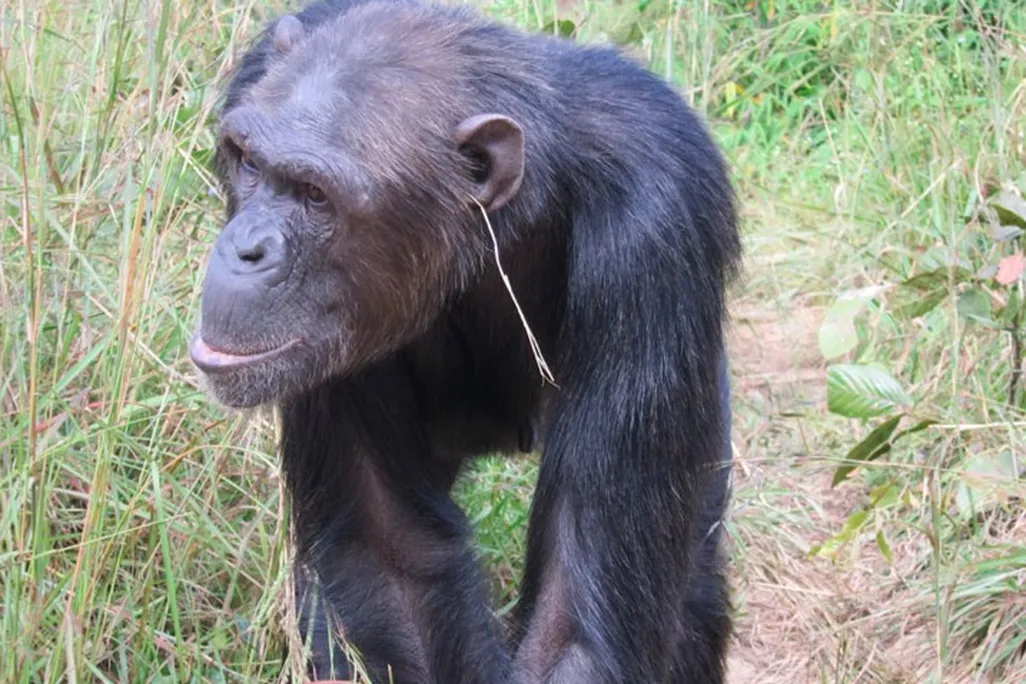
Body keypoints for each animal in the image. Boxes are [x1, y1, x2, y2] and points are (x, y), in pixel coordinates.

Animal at [190, 1, 741, 682]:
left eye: (316, 195)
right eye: (249, 162)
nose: (246, 249)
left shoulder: (658, 229)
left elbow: (569, 630)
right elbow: (392, 566)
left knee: (695, 586)